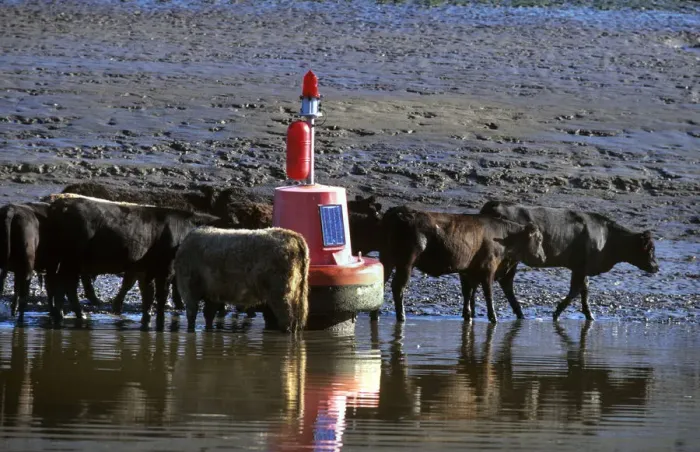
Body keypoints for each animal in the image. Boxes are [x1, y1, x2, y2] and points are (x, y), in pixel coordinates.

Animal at [45, 194, 230, 326]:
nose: (226, 309)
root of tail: (59, 206)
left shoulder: (143, 269)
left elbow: (146, 294)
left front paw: (146, 318)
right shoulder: (166, 270)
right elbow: (160, 295)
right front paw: (160, 320)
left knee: (62, 284)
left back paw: (68, 313)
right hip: (71, 259)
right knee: (64, 284)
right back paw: (69, 314)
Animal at [174, 227, 309, 333]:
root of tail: (293, 236)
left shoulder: (188, 287)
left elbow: (192, 314)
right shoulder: (213, 292)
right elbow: (208, 315)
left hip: (280, 293)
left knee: (287, 320)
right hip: (298, 293)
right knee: (297, 321)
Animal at [379, 206, 546, 323]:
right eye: (539, 239)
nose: (543, 257)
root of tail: (399, 211)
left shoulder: (467, 271)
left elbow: (468, 293)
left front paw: (468, 316)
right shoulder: (488, 269)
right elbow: (488, 294)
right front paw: (493, 318)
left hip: (386, 258)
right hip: (406, 262)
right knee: (398, 287)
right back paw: (401, 317)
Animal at [479, 201, 660, 321]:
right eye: (650, 249)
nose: (656, 267)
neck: (608, 237)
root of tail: (496, 204)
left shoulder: (581, 268)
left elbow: (584, 290)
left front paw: (589, 315)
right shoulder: (580, 267)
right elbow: (575, 290)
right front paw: (557, 313)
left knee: (506, 283)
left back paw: (519, 314)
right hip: (511, 259)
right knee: (506, 282)